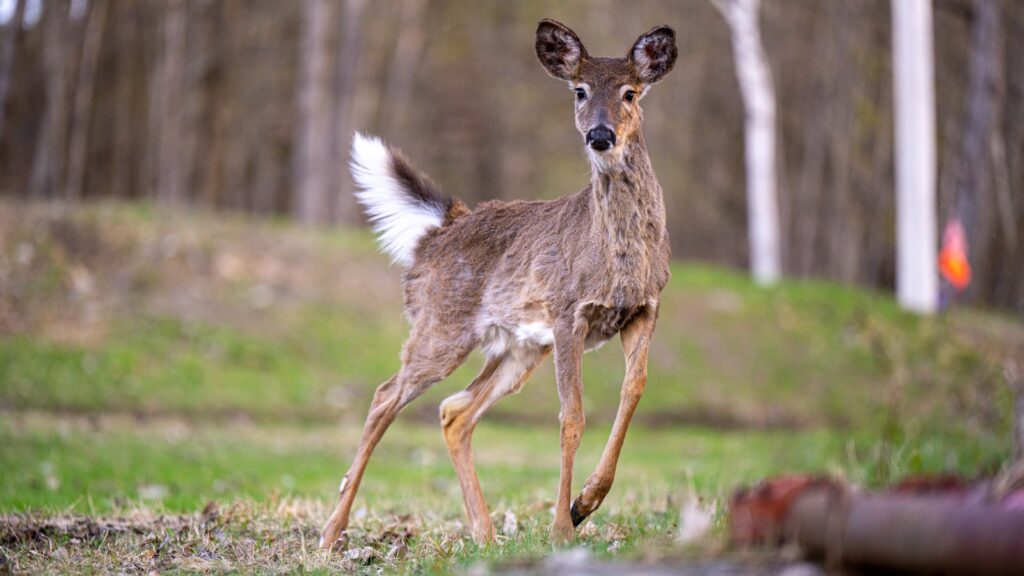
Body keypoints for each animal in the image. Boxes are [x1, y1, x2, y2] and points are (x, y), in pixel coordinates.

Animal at [319, 18, 677, 549]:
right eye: (579, 90)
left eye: (630, 92)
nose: (600, 134)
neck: (620, 259)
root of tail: (440, 229)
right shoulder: (568, 311)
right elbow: (572, 417)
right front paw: (562, 526)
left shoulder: (644, 308)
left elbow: (634, 390)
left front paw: (586, 502)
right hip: (441, 326)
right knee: (387, 395)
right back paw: (332, 531)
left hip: (518, 347)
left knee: (454, 410)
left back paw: (484, 534)